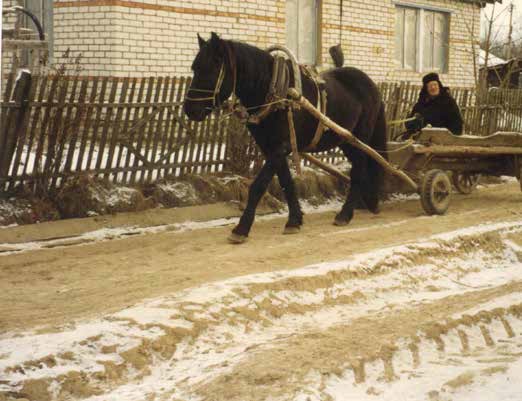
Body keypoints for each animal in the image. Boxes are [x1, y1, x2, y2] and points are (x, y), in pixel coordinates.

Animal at [182, 32, 382, 241]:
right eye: (194, 67)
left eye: (211, 68)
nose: (190, 109)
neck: (273, 90)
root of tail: (371, 84)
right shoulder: (271, 147)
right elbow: (286, 182)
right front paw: (294, 220)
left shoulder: (280, 147)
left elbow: (259, 185)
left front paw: (241, 228)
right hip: (345, 140)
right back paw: (365, 203)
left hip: (360, 138)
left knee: (359, 169)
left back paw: (346, 213)